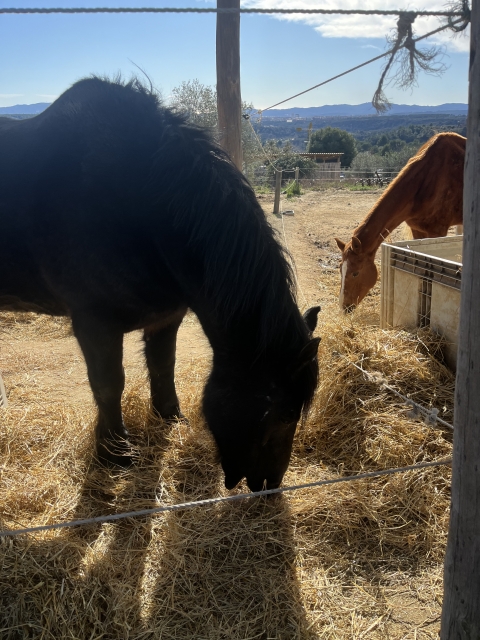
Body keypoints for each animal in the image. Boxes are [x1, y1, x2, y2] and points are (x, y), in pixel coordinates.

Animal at [0, 77, 321, 493]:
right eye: (282, 416)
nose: (271, 484)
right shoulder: (95, 324)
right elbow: (109, 385)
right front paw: (115, 452)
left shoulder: (166, 318)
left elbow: (163, 366)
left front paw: (170, 418)